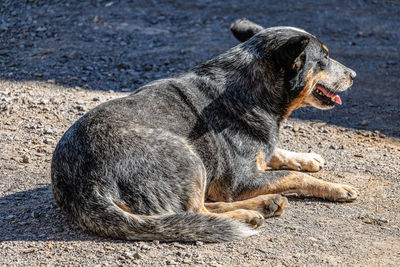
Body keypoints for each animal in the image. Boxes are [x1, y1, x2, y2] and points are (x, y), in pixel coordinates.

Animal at [51, 18, 358, 244]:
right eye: (324, 58)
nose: (354, 75)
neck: (250, 91)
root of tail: (83, 187)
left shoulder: (260, 154)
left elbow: (276, 153)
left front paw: (306, 157)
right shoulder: (239, 182)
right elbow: (293, 176)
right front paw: (336, 187)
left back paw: (263, 205)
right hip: (187, 156)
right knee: (195, 211)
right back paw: (251, 213)